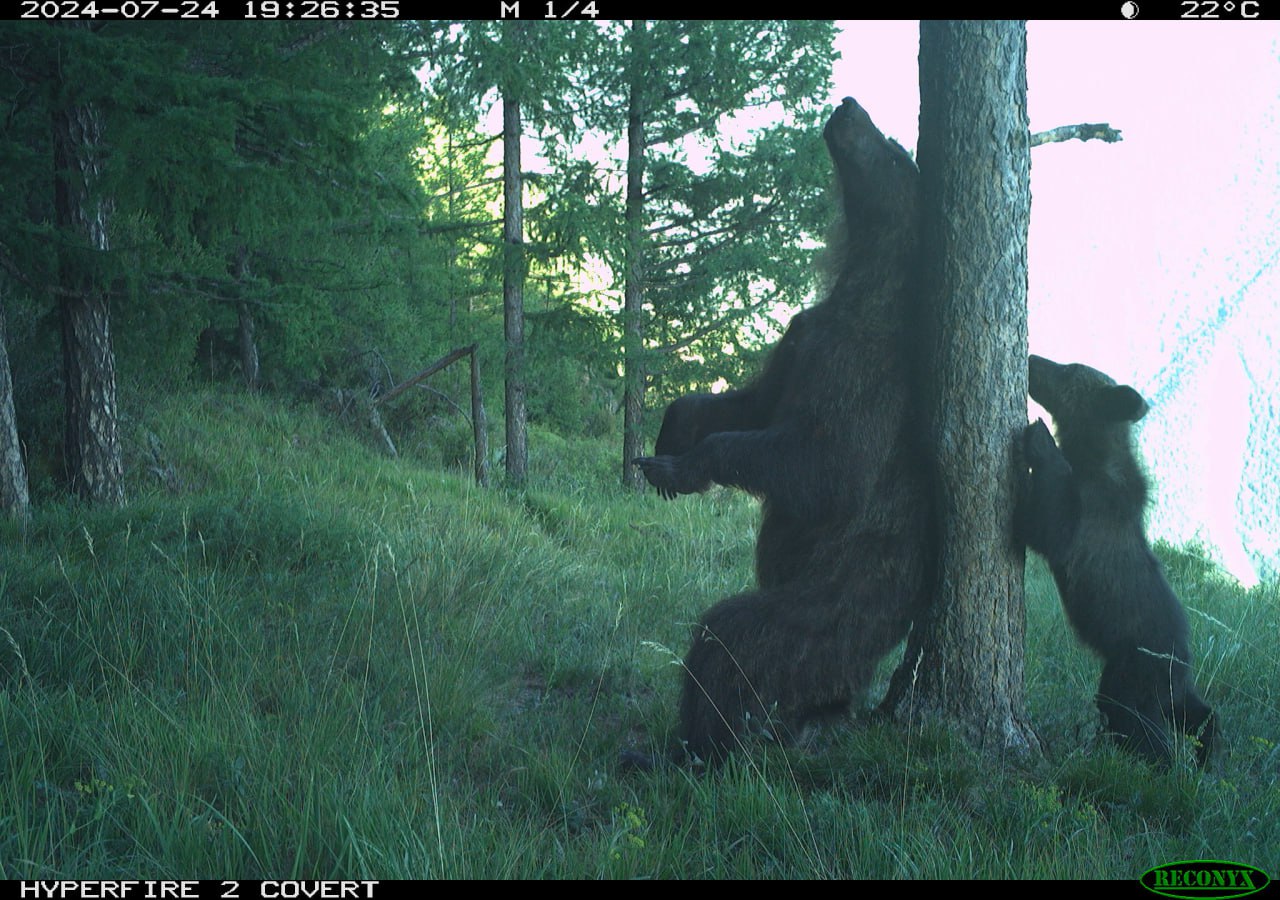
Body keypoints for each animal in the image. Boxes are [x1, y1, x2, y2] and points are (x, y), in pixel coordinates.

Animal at [634, 96, 936, 757]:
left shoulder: (864, 369)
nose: (850, 105)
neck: (860, 283)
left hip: (839, 604)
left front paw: (678, 465)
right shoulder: (801, 341)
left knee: (735, 639)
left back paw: (691, 745)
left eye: (893, 150)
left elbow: (828, 467)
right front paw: (672, 431)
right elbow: (755, 404)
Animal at [1013, 353, 1213, 768]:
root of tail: (1183, 655)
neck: (1092, 453)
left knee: (1130, 713)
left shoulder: (1091, 510)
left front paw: (1039, 438)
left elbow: (1048, 528)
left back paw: (1152, 760)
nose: (1032, 357)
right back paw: (1207, 750)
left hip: (1136, 663)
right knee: (1193, 709)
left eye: (1069, 369)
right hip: (1166, 678)